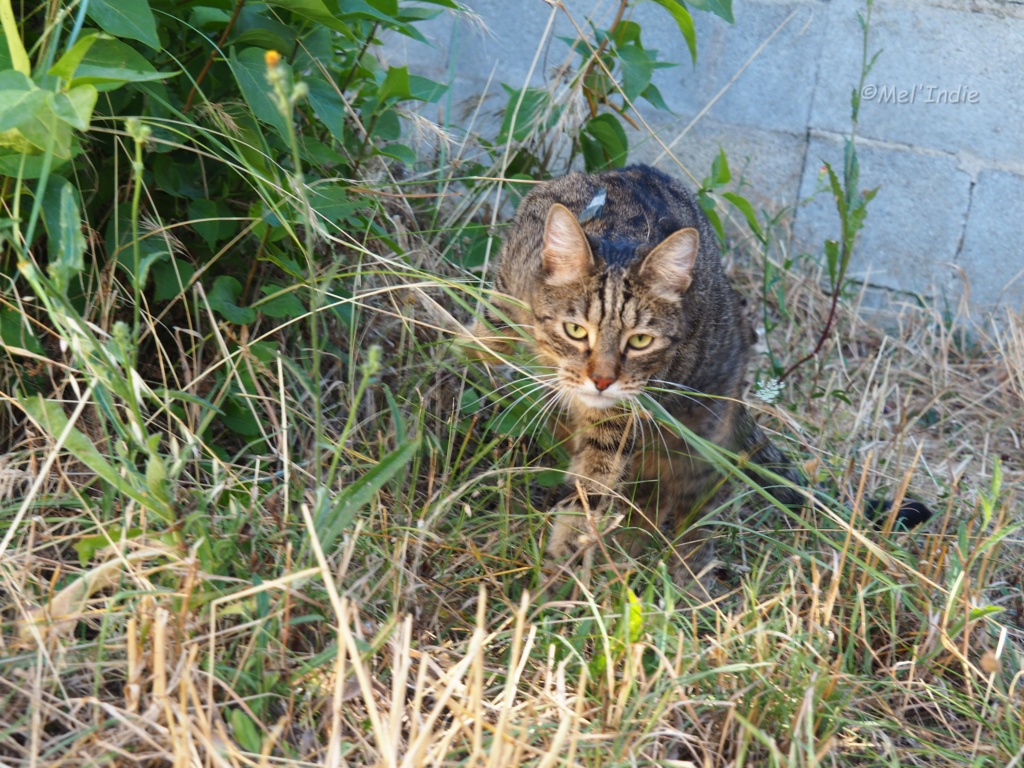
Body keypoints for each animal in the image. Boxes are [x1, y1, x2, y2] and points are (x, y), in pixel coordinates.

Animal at [471, 165, 929, 589]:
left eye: (640, 341)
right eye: (576, 331)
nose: (602, 381)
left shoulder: (621, 421)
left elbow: (590, 494)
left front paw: (555, 576)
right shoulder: (502, 301)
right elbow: (479, 349)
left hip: (696, 440)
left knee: (685, 511)